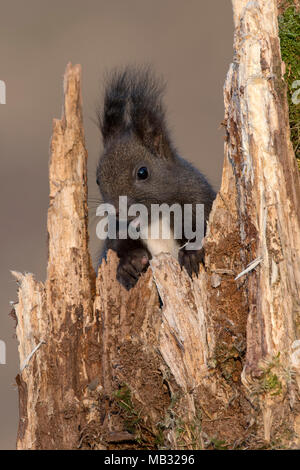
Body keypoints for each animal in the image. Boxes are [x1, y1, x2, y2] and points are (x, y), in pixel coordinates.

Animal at [96, 64, 216, 288]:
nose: (116, 211)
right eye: (97, 179)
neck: (154, 220)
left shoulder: (198, 198)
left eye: (143, 172)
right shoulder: (117, 231)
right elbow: (115, 246)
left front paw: (191, 254)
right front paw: (129, 263)